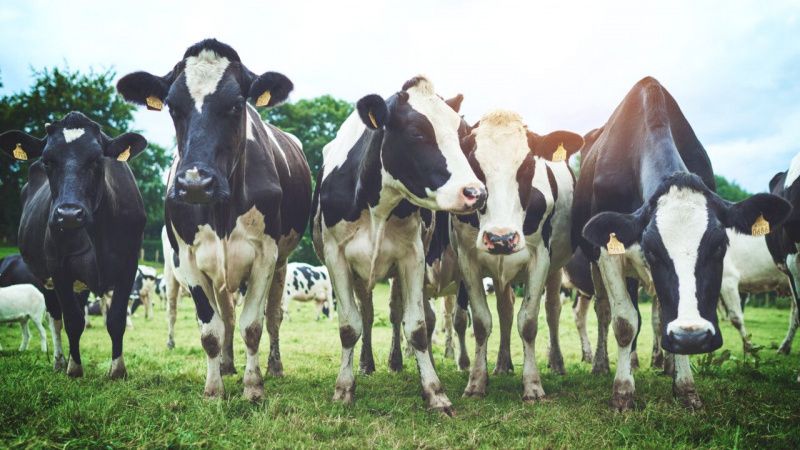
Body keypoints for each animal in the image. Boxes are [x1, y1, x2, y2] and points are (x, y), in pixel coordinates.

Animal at [1, 111, 148, 378]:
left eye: (97, 159)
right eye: (47, 160)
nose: (68, 214)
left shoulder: (129, 264)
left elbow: (116, 318)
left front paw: (117, 370)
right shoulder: (58, 267)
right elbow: (71, 320)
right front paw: (75, 368)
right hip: (46, 278)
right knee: (55, 319)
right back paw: (60, 361)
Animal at [117, 39, 312, 400]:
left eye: (236, 105)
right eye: (172, 107)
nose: (195, 183)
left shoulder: (265, 255)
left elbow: (253, 326)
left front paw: (253, 387)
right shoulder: (188, 258)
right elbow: (211, 330)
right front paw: (213, 389)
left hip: (281, 264)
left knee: (273, 316)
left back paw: (273, 367)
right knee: (226, 316)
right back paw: (226, 364)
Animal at [311, 76, 486, 414]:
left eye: (462, 136)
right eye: (417, 133)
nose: (476, 192)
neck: (376, 204)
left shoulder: (412, 257)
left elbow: (417, 327)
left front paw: (434, 391)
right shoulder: (336, 258)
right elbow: (349, 326)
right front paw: (343, 388)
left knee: (395, 315)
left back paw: (395, 362)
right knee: (367, 315)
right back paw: (366, 364)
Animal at [451, 109, 583, 402]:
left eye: (527, 167)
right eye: (475, 166)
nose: (501, 237)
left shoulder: (540, 258)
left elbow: (529, 322)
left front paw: (532, 385)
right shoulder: (467, 258)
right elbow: (482, 322)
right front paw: (476, 382)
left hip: (556, 269)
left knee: (553, 309)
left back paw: (557, 363)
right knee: (505, 310)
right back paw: (502, 364)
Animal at [573, 77, 791, 410]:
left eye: (720, 245)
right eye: (652, 249)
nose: (692, 337)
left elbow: (664, 315)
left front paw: (685, 387)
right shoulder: (609, 253)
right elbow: (624, 322)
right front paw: (623, 392)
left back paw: (657, 364)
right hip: (594, 262)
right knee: (603, 310)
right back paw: (602, 364)